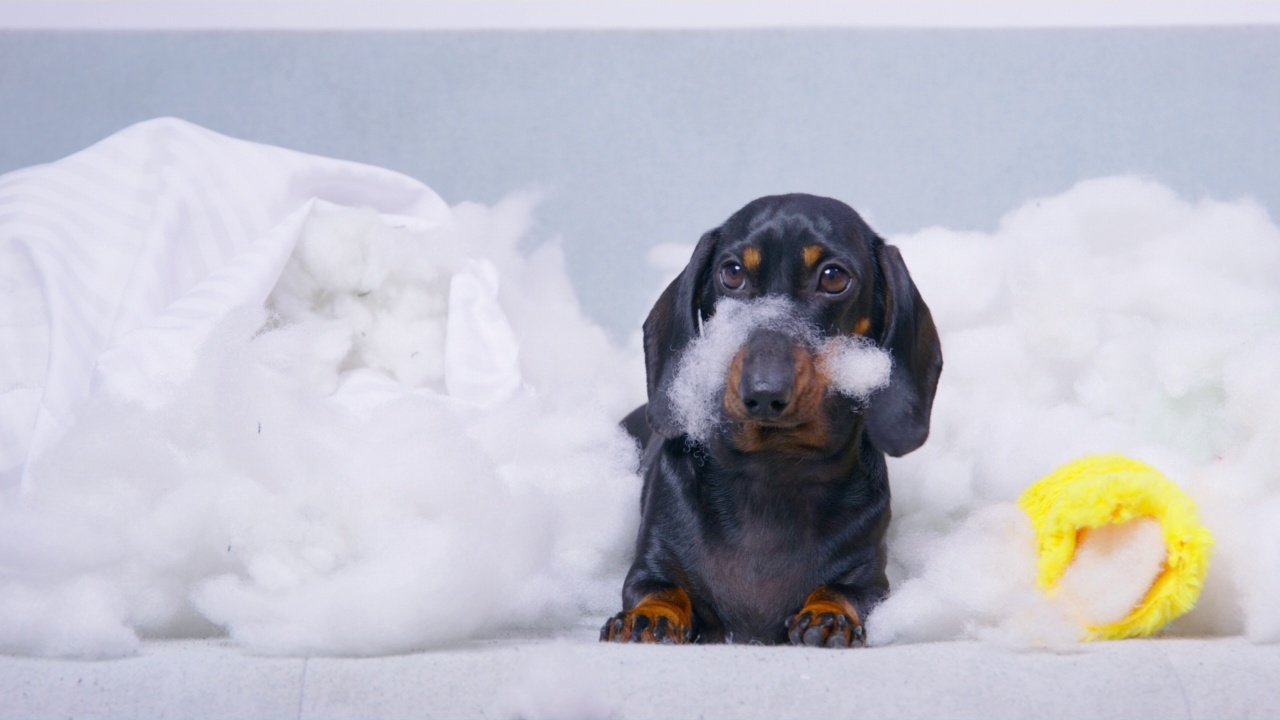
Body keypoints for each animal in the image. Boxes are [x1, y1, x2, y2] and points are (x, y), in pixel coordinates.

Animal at [599, 193, 942, 648]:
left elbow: (845, 590)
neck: (772, 466)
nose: (763, 393)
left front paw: (829, 616)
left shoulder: (870, 579)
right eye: (732, 273)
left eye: (834, 277)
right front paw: (648, 618)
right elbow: (659, 588)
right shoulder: (651, 562)